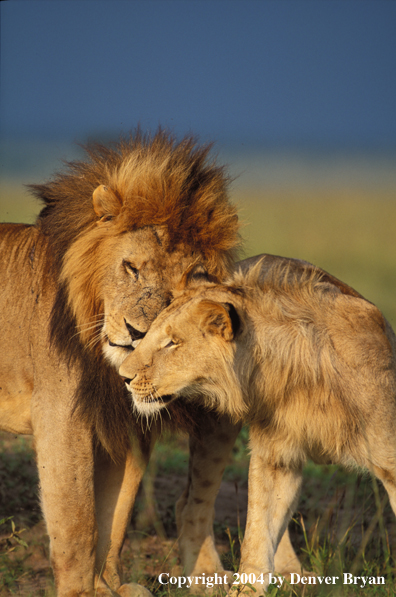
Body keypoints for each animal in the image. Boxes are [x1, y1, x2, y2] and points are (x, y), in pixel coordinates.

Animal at [0, 132, 246, 596]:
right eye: (130, 267)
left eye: (181, 290)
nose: (135, 333)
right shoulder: (61, 415)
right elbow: (78, 525)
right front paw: (79, 591)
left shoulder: (126, 424)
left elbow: (115, 515)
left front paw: (107, 586)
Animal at [120, 254, 396, 592]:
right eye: (148, 336)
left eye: (173, 342)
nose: (124, 376)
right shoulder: (274, 458)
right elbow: (257, 535)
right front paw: (244, 591)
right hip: (218, 428)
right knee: (190, 503)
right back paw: (208, 578)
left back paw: (292, 575)